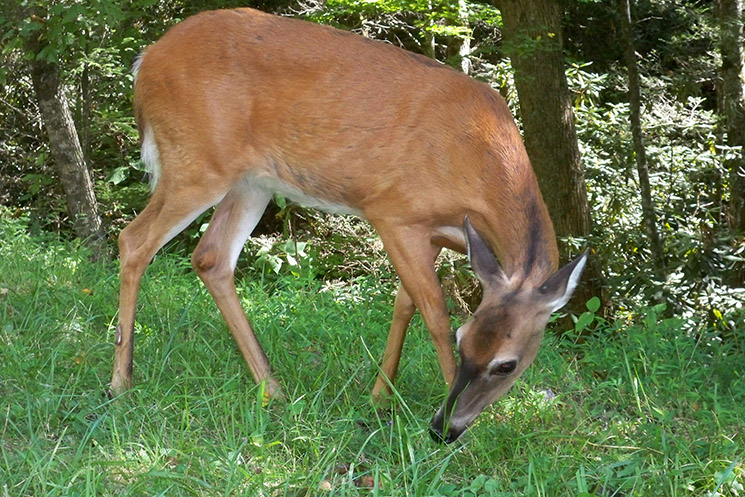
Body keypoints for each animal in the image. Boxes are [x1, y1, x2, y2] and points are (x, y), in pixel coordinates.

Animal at [112, 7, 588, 442]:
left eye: (507, 364)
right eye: (462, 338)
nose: (443, 430)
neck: (477, 162)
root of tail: (144, 61)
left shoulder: (435, 232)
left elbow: (405, 305)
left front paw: (380, 397)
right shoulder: (395, 210)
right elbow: (433, 310)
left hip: (251, 181)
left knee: (210, 257)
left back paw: (273, 389)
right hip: (197, 162)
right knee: (134, 240)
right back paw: (122, 382)